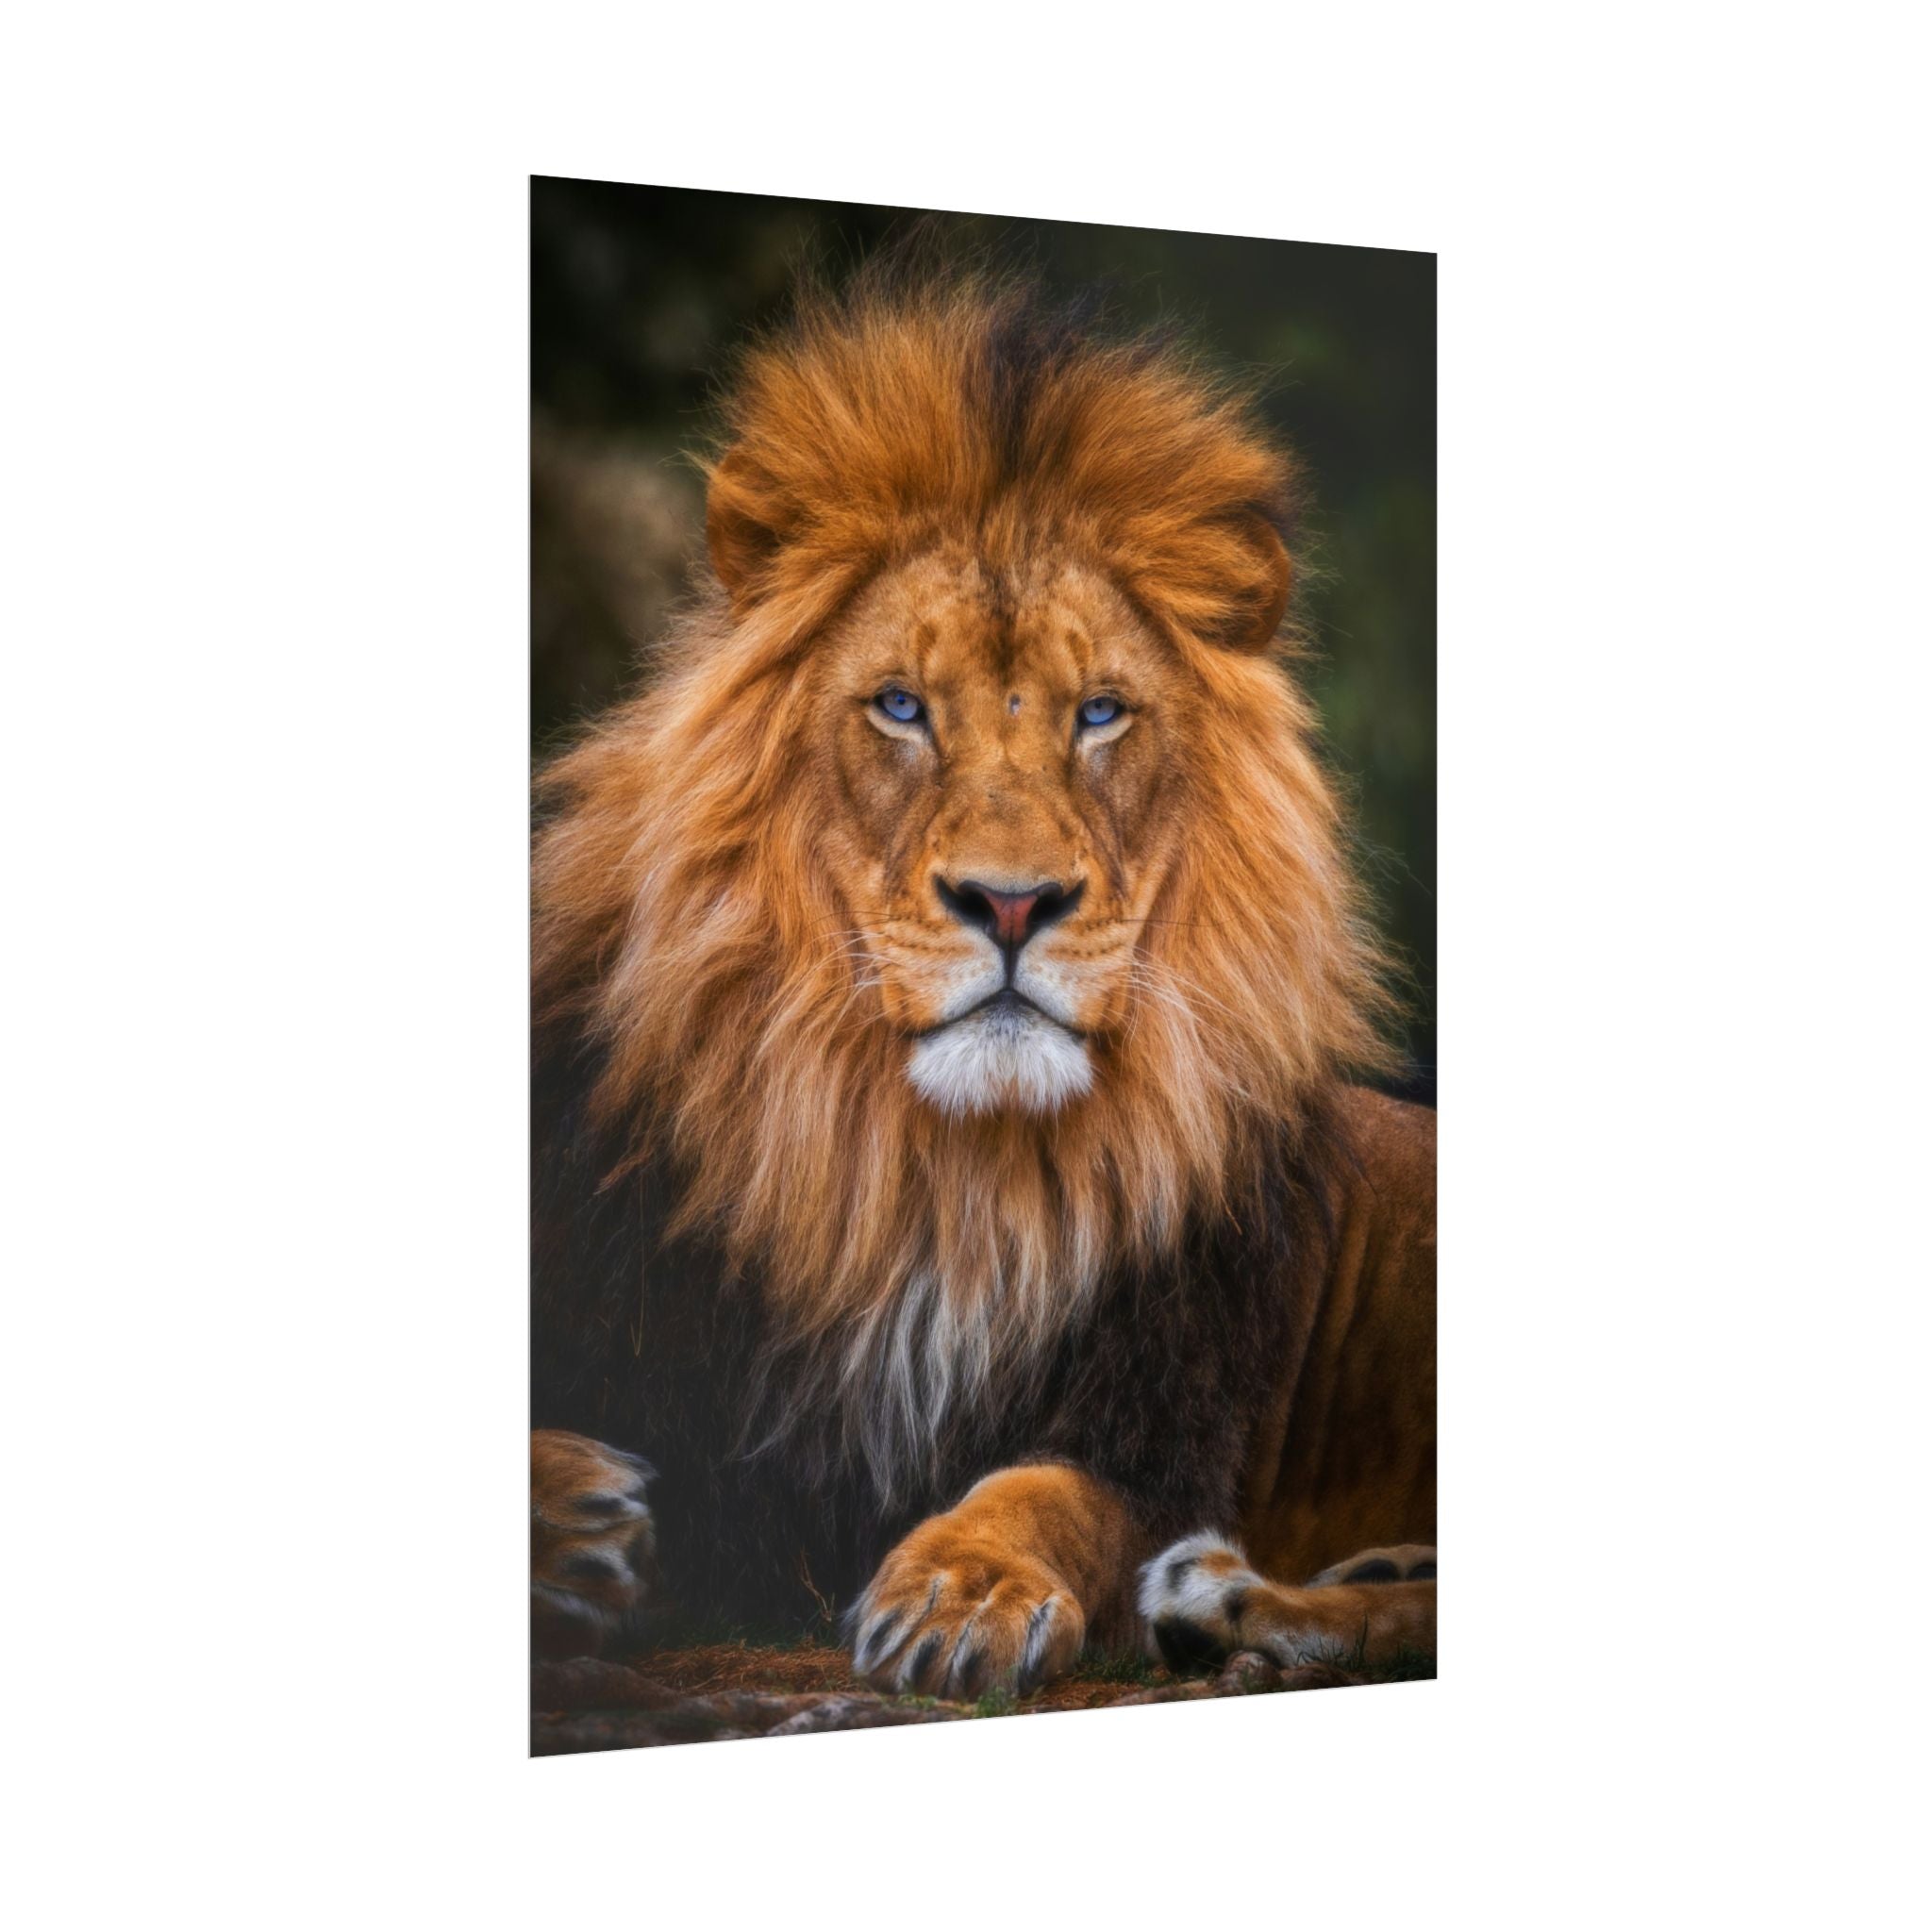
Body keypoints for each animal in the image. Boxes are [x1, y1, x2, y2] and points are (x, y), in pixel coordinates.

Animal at [530, 268, 1435, 1702]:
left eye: (1099, 713)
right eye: (901, 707)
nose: (1011, 904)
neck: (936, 1177)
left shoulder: (1158, 1427)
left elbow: (1043, 1493)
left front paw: (964, 1589)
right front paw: (573, 1517)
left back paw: (1230, 1602)